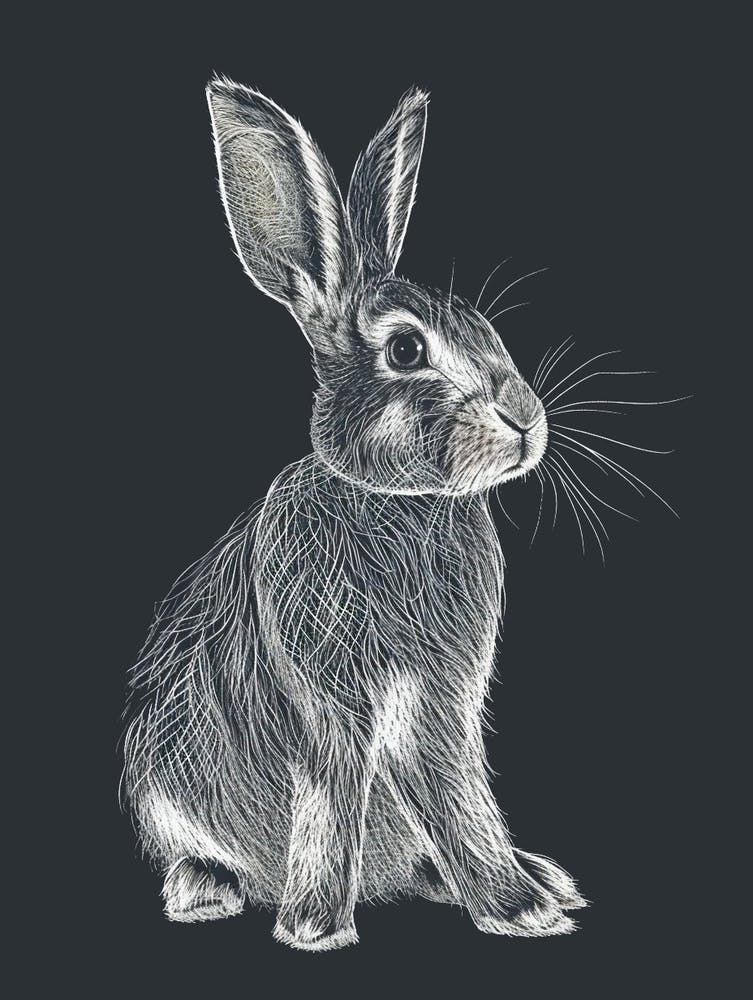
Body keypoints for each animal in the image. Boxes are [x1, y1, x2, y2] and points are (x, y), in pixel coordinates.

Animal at [122, 77, 587, 951]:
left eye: (483, 326)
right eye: (405, 351)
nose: (524, 421)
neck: (395, 504)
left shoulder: (441, 705)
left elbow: (461, 798)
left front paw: (518, 905)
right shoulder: (327, 701)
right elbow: (331, 798)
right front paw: (313, 926)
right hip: (160, 775)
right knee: (191, 844)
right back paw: (204, 888)